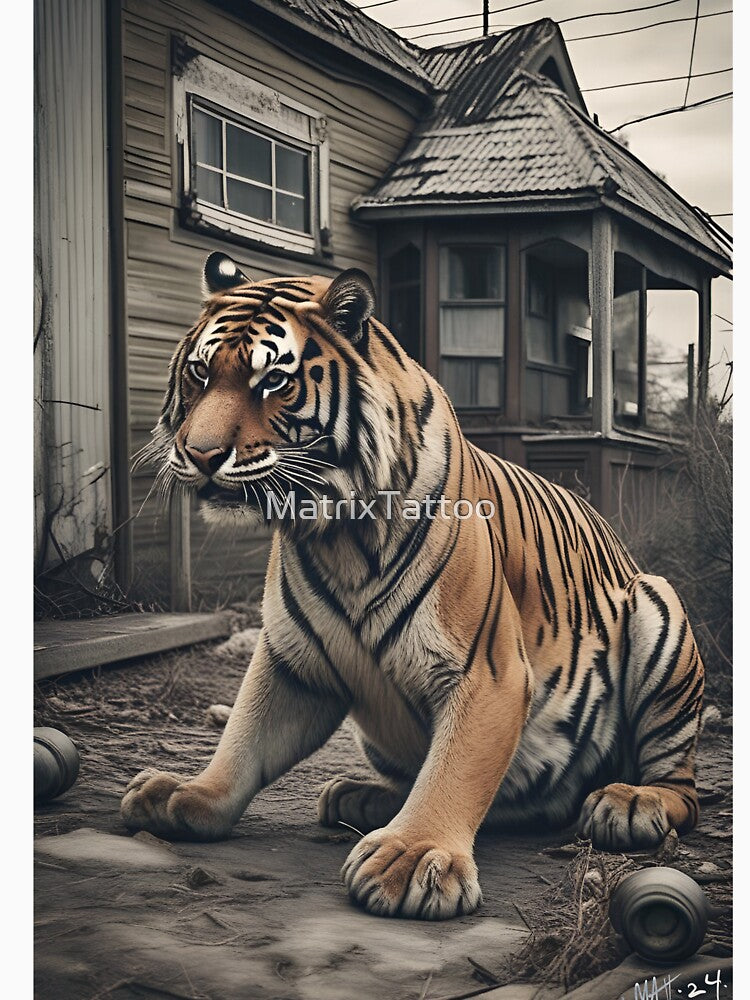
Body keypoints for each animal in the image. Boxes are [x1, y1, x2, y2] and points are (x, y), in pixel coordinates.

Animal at [121, 251, 705, 921]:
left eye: (272, 382)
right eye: (199, 373)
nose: (201, 454)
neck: (332, 530)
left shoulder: (485, 670)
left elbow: (455, 767)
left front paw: (414, 857)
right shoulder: (293, 661)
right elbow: (244, 736)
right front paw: (186, 793)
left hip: (659, 608)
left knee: (680, 786)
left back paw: (631, 802)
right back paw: (359, 795)